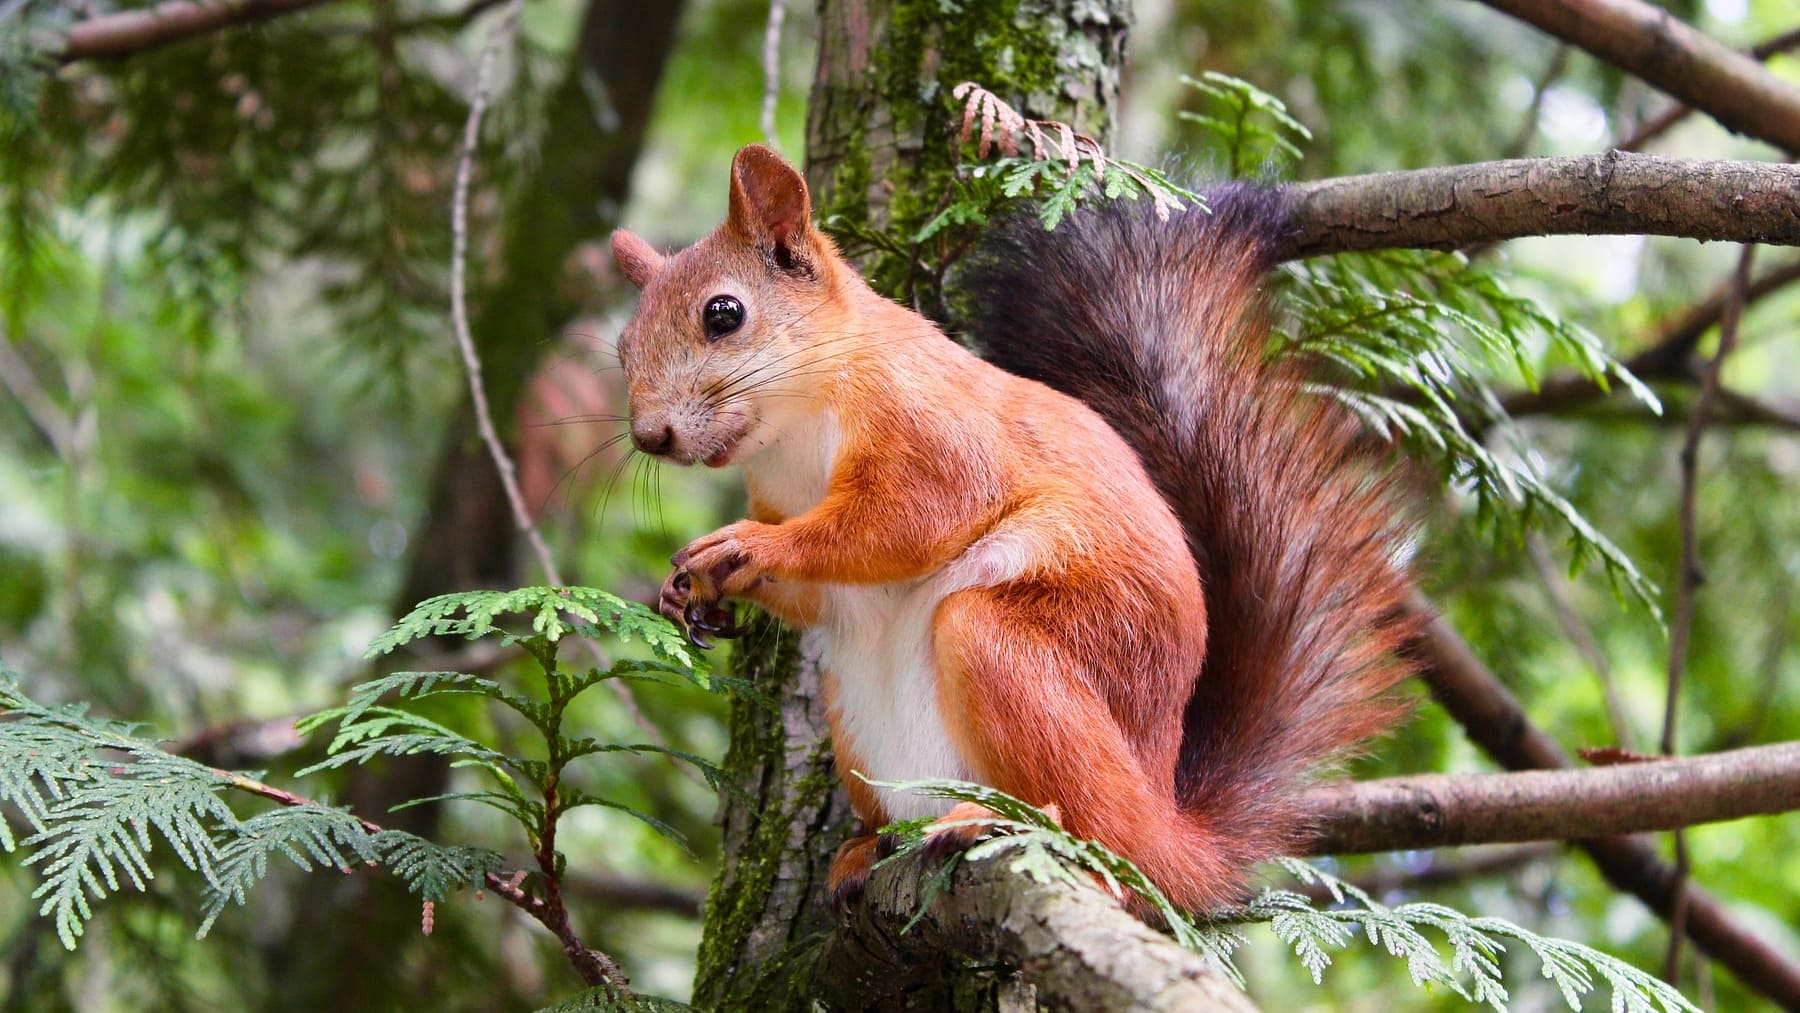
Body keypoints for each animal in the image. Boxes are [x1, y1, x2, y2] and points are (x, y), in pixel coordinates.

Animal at [609, 143, 1418, 914]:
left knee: (1102, 840)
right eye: (622, 347)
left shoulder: (933, 428)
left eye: (724, 314)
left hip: (1017, 650)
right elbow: (820, 593)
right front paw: (691, 593)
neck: (797, 428)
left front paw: (748, 547)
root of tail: (1170, 829)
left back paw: (1002, 823)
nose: (649, 437)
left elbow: (905, 521)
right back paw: (867, 848)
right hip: (855, 717)